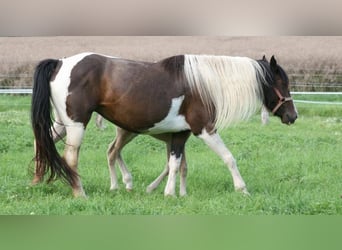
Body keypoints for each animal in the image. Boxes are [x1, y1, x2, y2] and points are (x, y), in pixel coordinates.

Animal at [31, 52, 296, 197]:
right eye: (282, 82)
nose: (292, 116)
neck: (203, 83)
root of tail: (60, 63)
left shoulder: (180, 134)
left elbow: (176, 164)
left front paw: (172, 193)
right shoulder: (205, 130)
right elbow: (229, 158)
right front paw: (242, 189)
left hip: (63, 124)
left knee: (41, 142)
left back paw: (36, 180)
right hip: (77, 125)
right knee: (71, 157)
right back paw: (80, 192)